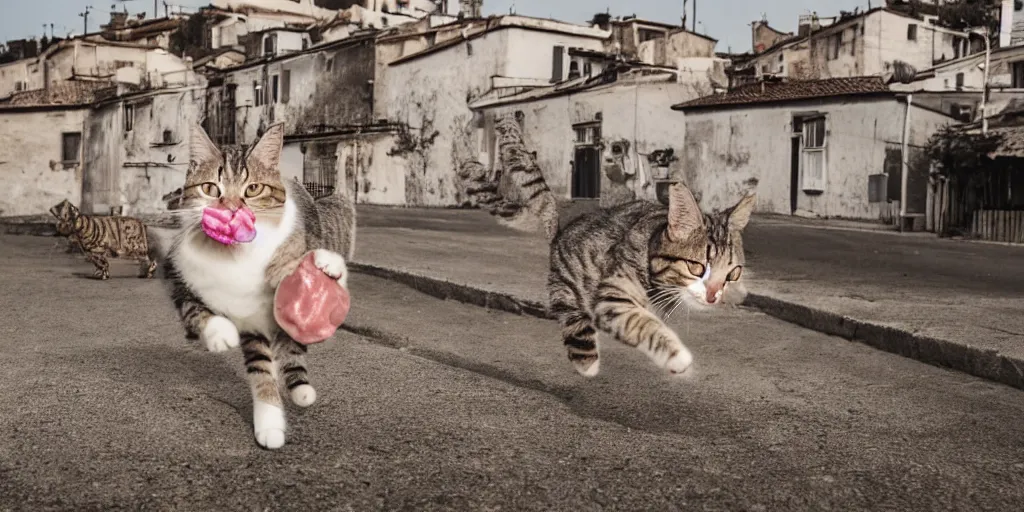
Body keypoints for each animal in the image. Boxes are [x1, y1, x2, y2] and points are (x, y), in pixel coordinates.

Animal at [162, 121, 356, 450]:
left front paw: (326, 268)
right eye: (210, 188)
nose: (231, 209)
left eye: (253, 189)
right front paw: (221, 335)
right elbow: (198, 311)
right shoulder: (183, 279)